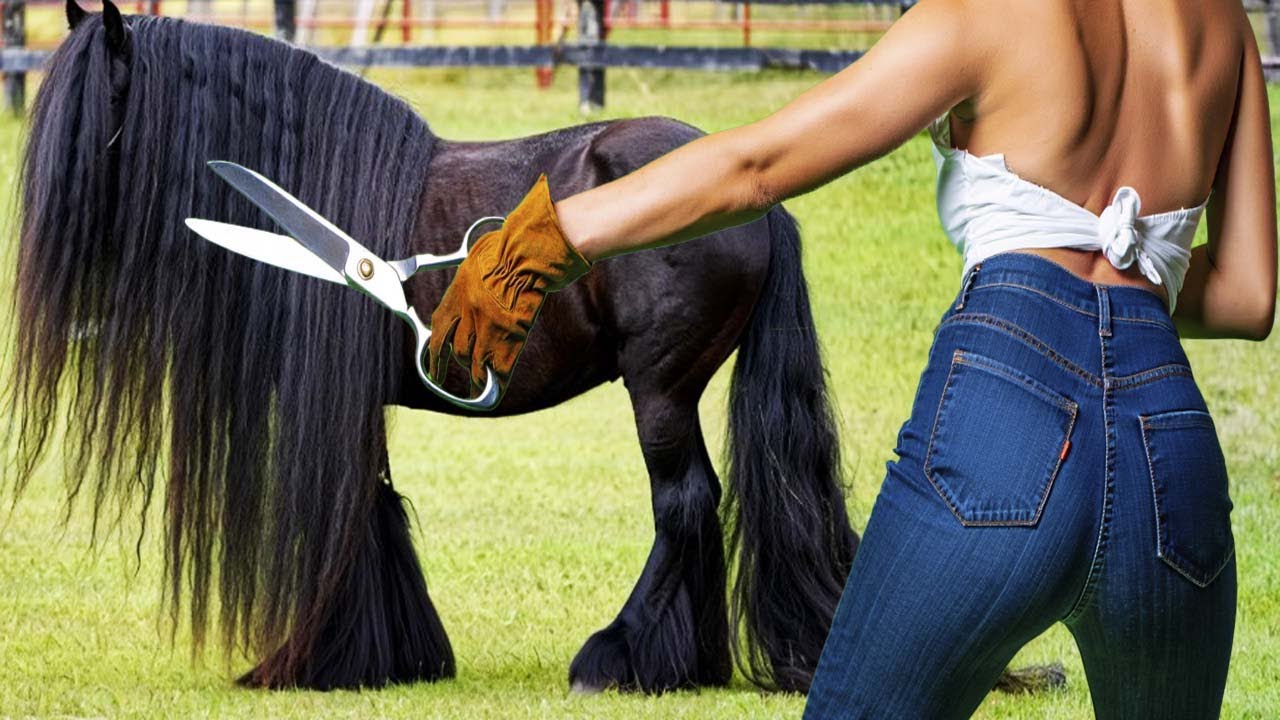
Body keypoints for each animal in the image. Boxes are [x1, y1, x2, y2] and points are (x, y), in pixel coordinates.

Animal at [7, 1, 856, 694]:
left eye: (94, 108)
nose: (50, 235)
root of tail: (760, 204)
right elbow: (375, 506)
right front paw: (389, 657)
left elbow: (352, 512)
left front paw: (321, 662)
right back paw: (682, 667)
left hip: (659, 392)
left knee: (683, 504)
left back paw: (613, 658)